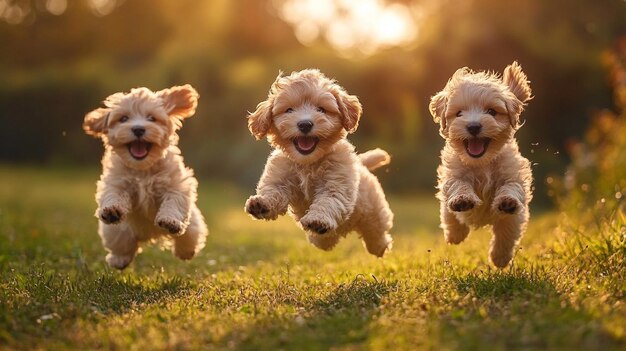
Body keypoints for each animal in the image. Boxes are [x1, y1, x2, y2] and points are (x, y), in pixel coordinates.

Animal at [81, 84, 210, 270]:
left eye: (151, 118)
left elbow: (174, 200)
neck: (143, 168)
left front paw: (170, 220)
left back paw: (185, 251)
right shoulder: (116, 181)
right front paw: (112, 210)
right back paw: (118, 259)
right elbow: (113, 194)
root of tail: (150, 235)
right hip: (116, 231)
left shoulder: (176, 184)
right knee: (122, 245)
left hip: (193, 224)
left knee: (188, 238)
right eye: (123, 118)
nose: (138, 129)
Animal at [244, 70, 390, 258]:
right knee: (324, 241)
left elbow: (328, 201)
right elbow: (273, 191)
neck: (308, 162)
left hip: (374, 209)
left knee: (376, 230)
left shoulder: (337, 182)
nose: (305, 124)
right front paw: (261, 204)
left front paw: (318, 220)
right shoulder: (280, 177)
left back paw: (379, 246)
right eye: (289, 110)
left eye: (321, 109)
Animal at [428, 62, 532, 268]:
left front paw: (500, 257)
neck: (482, 163)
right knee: (449, 216)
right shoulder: (453, 174)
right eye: (459, 113)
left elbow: (511, 193)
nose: (474, 126)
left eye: (491, 112)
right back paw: (455, 234)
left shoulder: (514, 175)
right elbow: (458, 184)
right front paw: (462, 199)